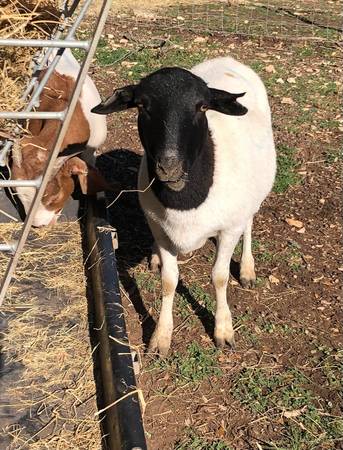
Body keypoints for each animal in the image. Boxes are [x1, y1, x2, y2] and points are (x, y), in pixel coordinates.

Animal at [92, 56, 276, 356]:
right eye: (141, 105)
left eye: (202, 106)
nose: (169, 166)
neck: (185, 201)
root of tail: (227, 59)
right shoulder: (159, 228)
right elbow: (169, 280)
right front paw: (161, 337)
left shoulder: (229, 229)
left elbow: (219, 276)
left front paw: (223, 329)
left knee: (249, 222)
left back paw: (248, 269)